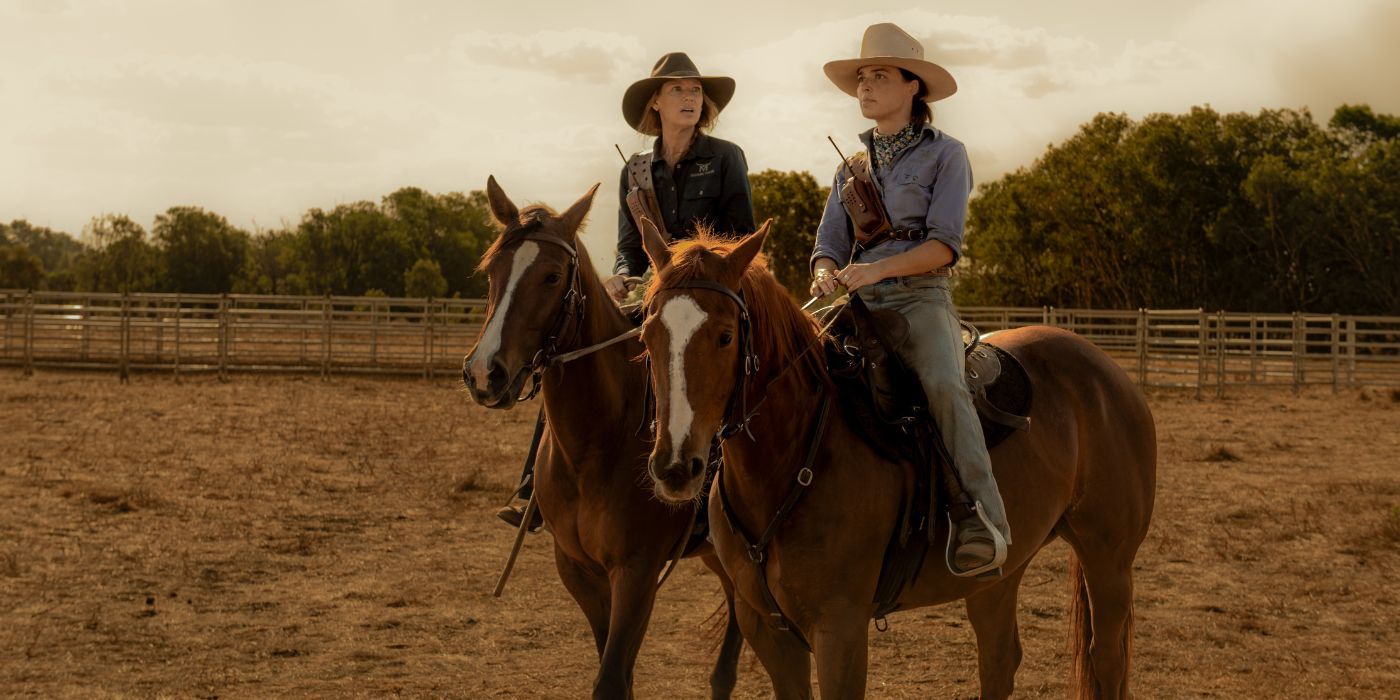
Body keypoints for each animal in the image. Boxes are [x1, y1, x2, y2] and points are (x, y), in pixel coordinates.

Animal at [462, 177, 750, 697]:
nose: (483, 373)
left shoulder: (636, 573)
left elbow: (612, 679)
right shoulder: (579, 571)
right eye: (491, 270)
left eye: (552, 276)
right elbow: (615, 670)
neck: (595, 445)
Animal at [641, 222, 1153, 700]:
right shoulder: (765, 628)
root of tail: (1107, 371)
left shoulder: (841, 630)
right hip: (1000, 575)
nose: (675, 467)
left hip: (1109, 559)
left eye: (725, 336)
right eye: (648, 335)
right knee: (1000, 660)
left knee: (1107, 659)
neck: (792, 459)